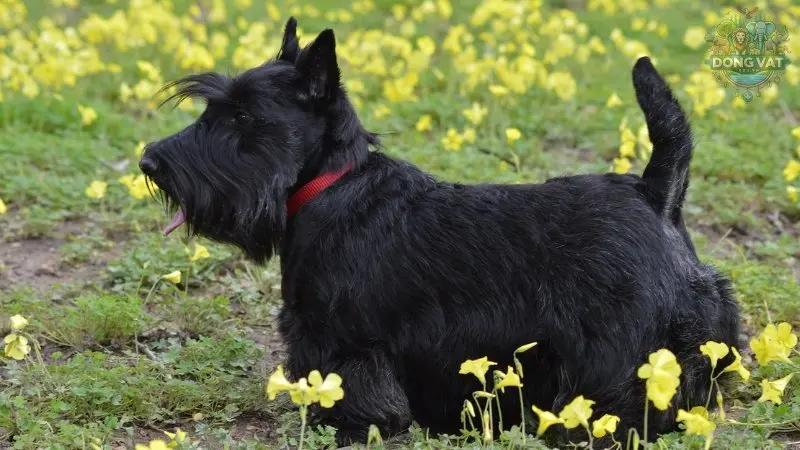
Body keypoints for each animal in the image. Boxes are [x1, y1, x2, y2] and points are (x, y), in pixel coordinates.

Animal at [141, 17, 740, 446]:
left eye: (243, 117)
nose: (149, 162)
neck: (332, 184)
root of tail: (653, 193)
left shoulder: (345, 343)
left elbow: (357, 394)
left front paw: (352, 429)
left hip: (619, 351)